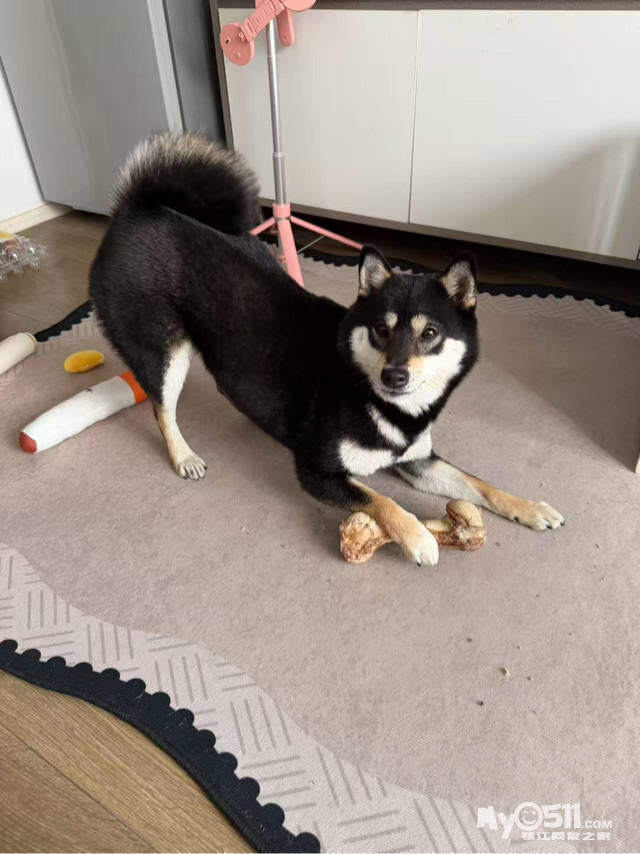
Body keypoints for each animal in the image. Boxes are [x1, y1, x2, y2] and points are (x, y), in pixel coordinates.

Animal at [90, 133, 564, 566]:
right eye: (380, 329)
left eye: (430, 333)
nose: (394, 375)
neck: (383, 403)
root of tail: (140, 209)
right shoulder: (316, 467)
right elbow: (381, 500)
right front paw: (418, 537)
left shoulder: (419, 460)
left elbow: (479, 483)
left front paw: (529, 508)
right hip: (165, 350)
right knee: (162, 408)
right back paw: (183, 455)